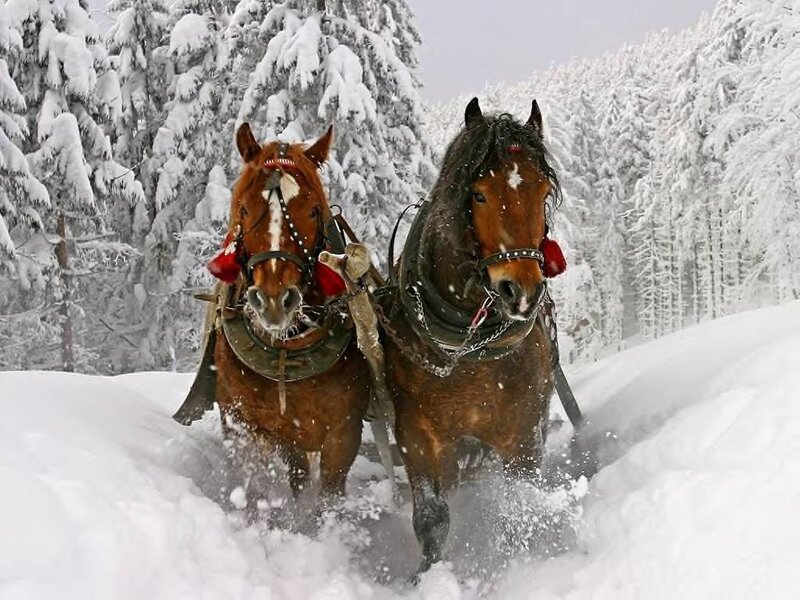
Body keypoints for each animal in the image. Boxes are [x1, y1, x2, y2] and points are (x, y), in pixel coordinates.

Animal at [190, 123, 375, 505]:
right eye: (244, 209)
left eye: (314, 211)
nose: (275, 300)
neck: (286, 352)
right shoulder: (244, 423)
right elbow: (257, 485)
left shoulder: (344, 432)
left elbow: (328, 498)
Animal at [382, 97, 562, 572]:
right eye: (479, 194)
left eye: (543, 192)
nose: (522, 291)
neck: (468, 348)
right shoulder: (417, 433)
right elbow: (431, 518)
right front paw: (428, 576)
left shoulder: (523, 432)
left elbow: (520, 506)